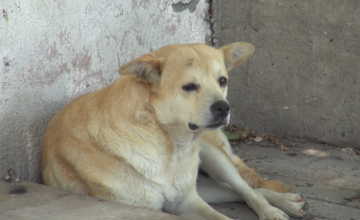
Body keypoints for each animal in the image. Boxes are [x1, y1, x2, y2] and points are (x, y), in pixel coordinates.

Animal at [40, 42, 308, 219]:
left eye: (222, 81)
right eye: (189, 86)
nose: (224, 107)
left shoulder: (187, 199)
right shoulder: (163, 205)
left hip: (215, 158)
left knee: (246, 188)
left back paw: (276, 208)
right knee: (238, 190)